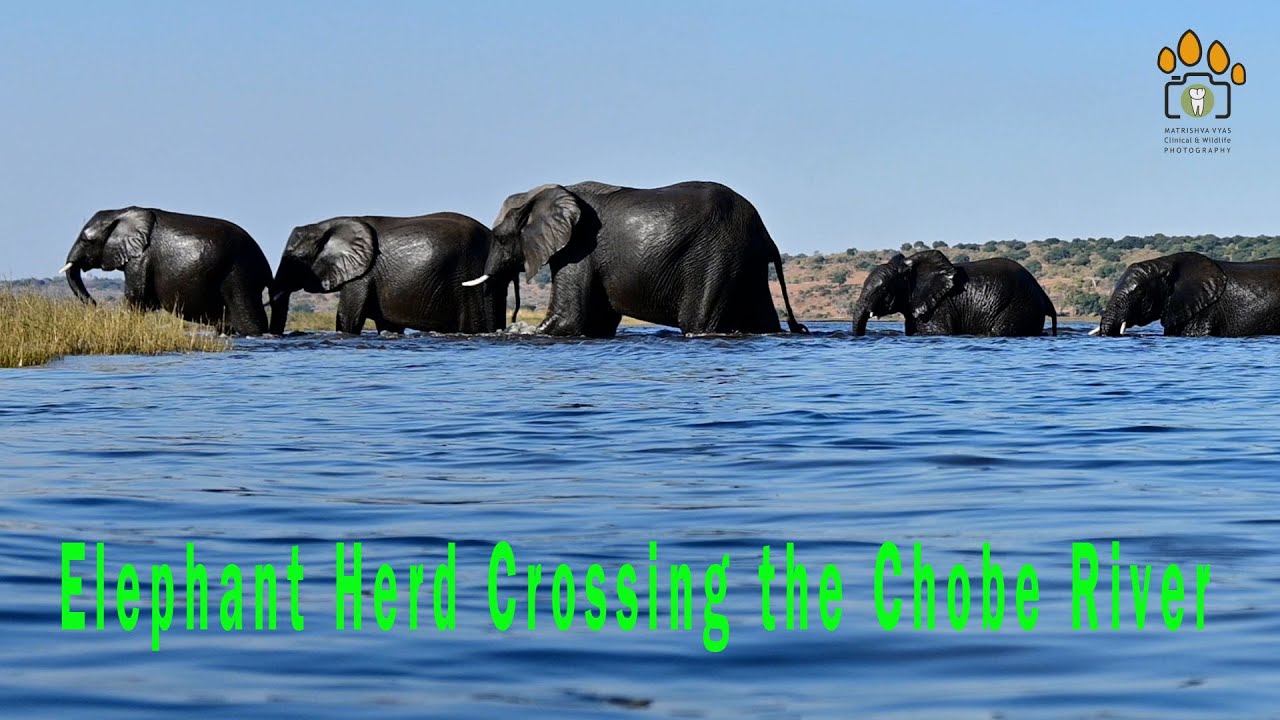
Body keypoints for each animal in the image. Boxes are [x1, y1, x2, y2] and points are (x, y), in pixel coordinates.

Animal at [62, 207, 272, 335]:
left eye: (86, 240)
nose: (98, 307)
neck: (120, 212)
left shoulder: (141, 259)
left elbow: (136, 298)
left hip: (238, 276)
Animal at [461, 181, 806, 337]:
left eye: (500, 237)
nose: (511, 321)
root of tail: (765, 234)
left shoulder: (578, 250)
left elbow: (570, 319)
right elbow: (596, 323)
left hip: (717, 256)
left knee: (699, 321)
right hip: (746, 264)